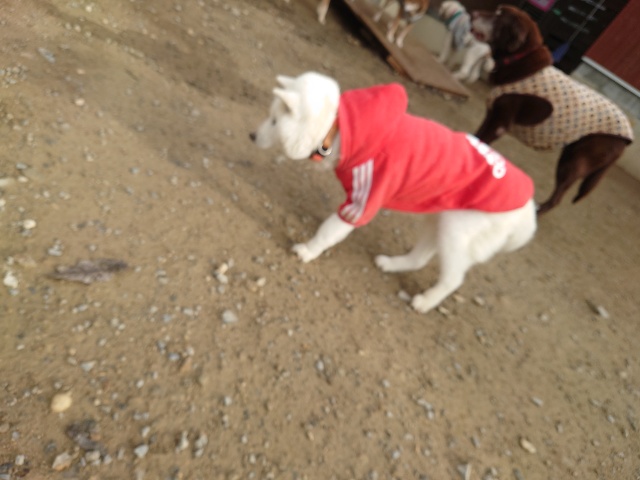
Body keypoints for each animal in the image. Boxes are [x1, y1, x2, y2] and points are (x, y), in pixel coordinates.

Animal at [250, 72, 536, 313]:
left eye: (274, 121)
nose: (252, 136)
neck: (338, 129)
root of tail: (528, 214)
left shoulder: (360, 204)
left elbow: (328, 232)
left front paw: (308, 251)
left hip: (456, 233)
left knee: (453, 279)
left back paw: (424, 302)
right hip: (439, 219)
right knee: (420, 258)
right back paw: (391, 264)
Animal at [471, 5, 633, 214]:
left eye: (499, 17)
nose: (473, 13)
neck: (518, 60)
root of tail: (627, 137)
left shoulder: (499, 123)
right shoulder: (491, 115)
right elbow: (476, 137)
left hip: (574, 162)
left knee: (557, 198)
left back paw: (537, 211)